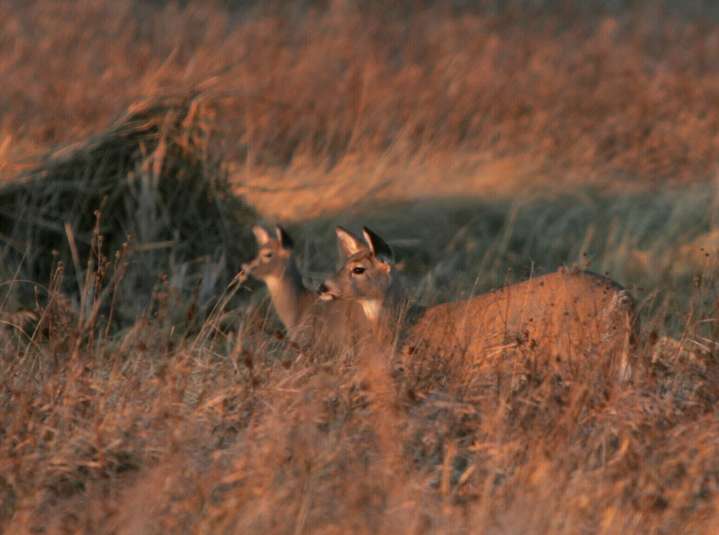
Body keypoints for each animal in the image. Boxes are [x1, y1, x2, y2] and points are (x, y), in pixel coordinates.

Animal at [318, 226, 637, 380]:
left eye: (358, 269)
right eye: (343, 262)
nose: (322, 287)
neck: (406, 323)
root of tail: (623, 300)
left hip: (575, 350)